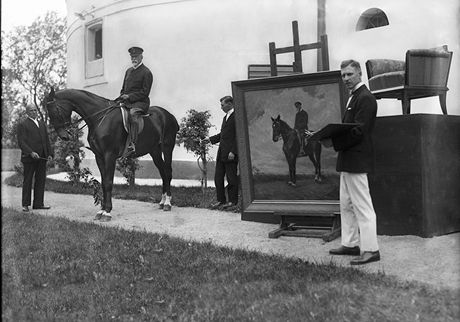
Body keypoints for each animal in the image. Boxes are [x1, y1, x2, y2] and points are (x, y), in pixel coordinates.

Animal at [44, 87, 179, 219]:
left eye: (55, 110)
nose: (63, 136)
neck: (100, 117)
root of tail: (169, 115)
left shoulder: (110, 155)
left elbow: (108, 182)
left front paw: (107, 212)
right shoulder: (99, 156)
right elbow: (104, 182)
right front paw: (101, 210)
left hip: (167, 147)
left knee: (167, 172)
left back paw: (167, 203)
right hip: (154, 150)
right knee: (162, 172)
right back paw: (162, 202)